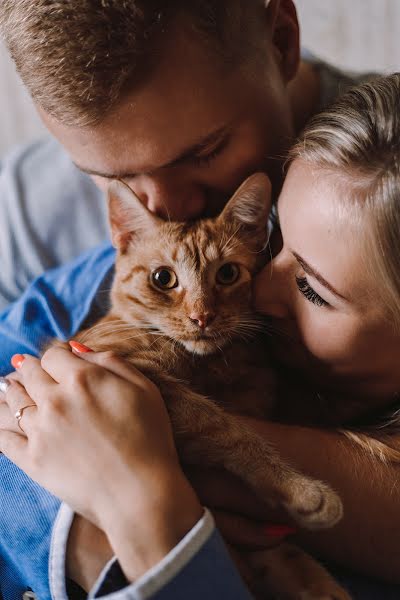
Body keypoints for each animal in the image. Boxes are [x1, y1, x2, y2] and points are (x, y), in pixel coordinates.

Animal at [71, 176, 350, 596]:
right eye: (162, 278)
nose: (201, 316)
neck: (209, 364)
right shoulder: (129, 367)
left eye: (228, 274)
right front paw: (301, 491)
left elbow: (288, 558)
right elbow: (224, 426)